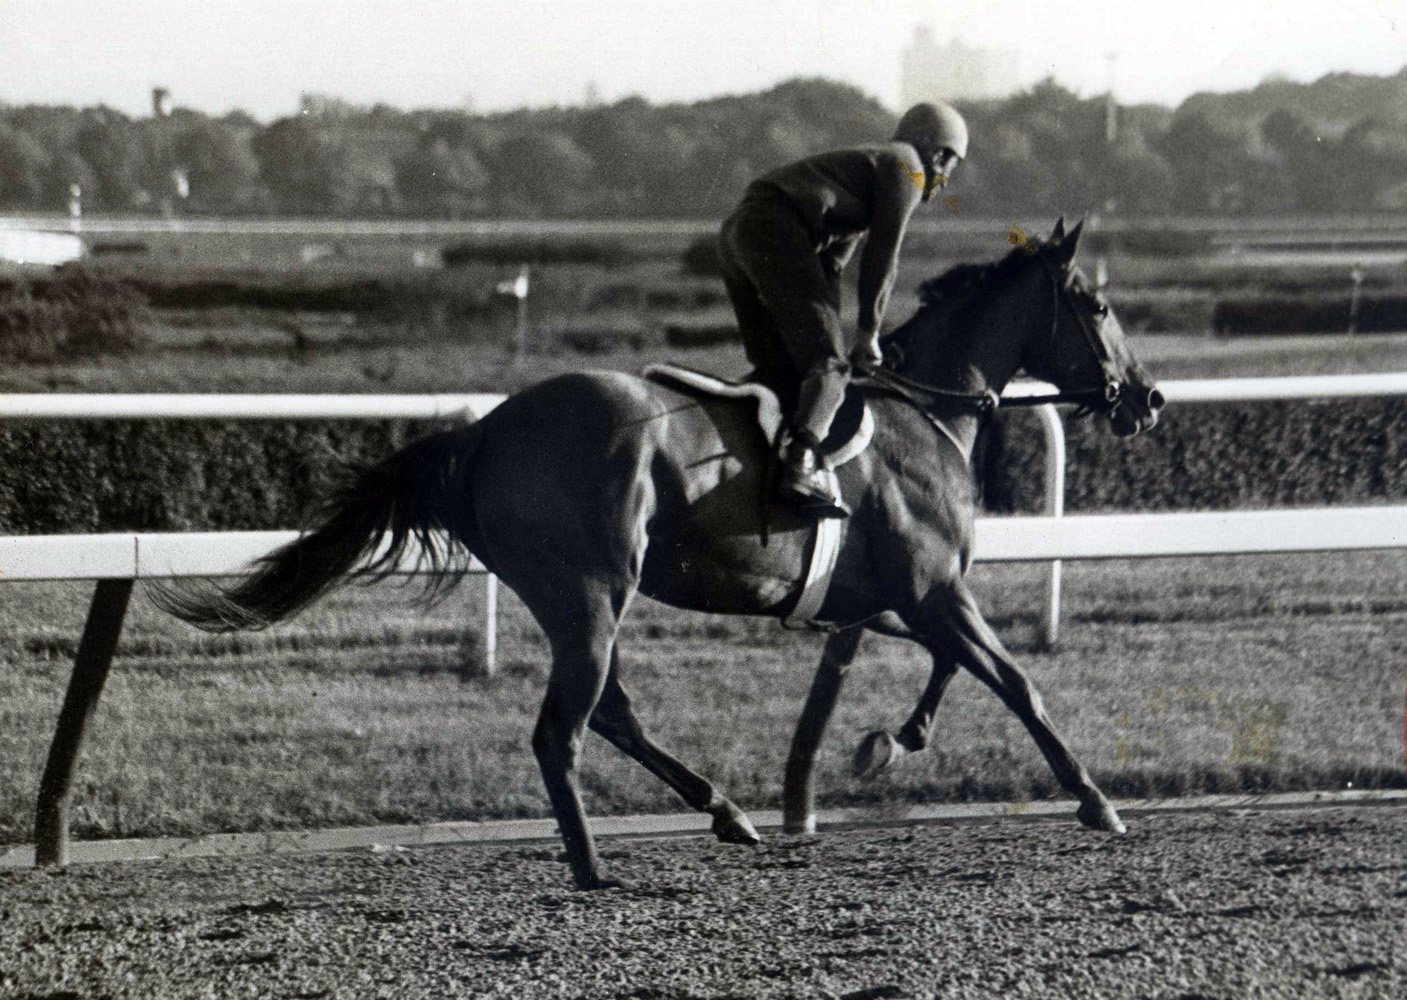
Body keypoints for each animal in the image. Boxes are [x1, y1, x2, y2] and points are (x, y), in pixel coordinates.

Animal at [156, 220, 1164, 894]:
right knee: (563, 729)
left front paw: (890, 741)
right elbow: (1014, 680)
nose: (1146, 397)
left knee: (610, 714)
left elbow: (949, 666)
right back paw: (593, 865)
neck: (927, 413)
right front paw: (1093, 799)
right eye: (1099, 304)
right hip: (592, 592)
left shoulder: (890, 597)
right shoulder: (934, 588)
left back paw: (725, 813)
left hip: (578, 597)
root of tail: (483, 434)